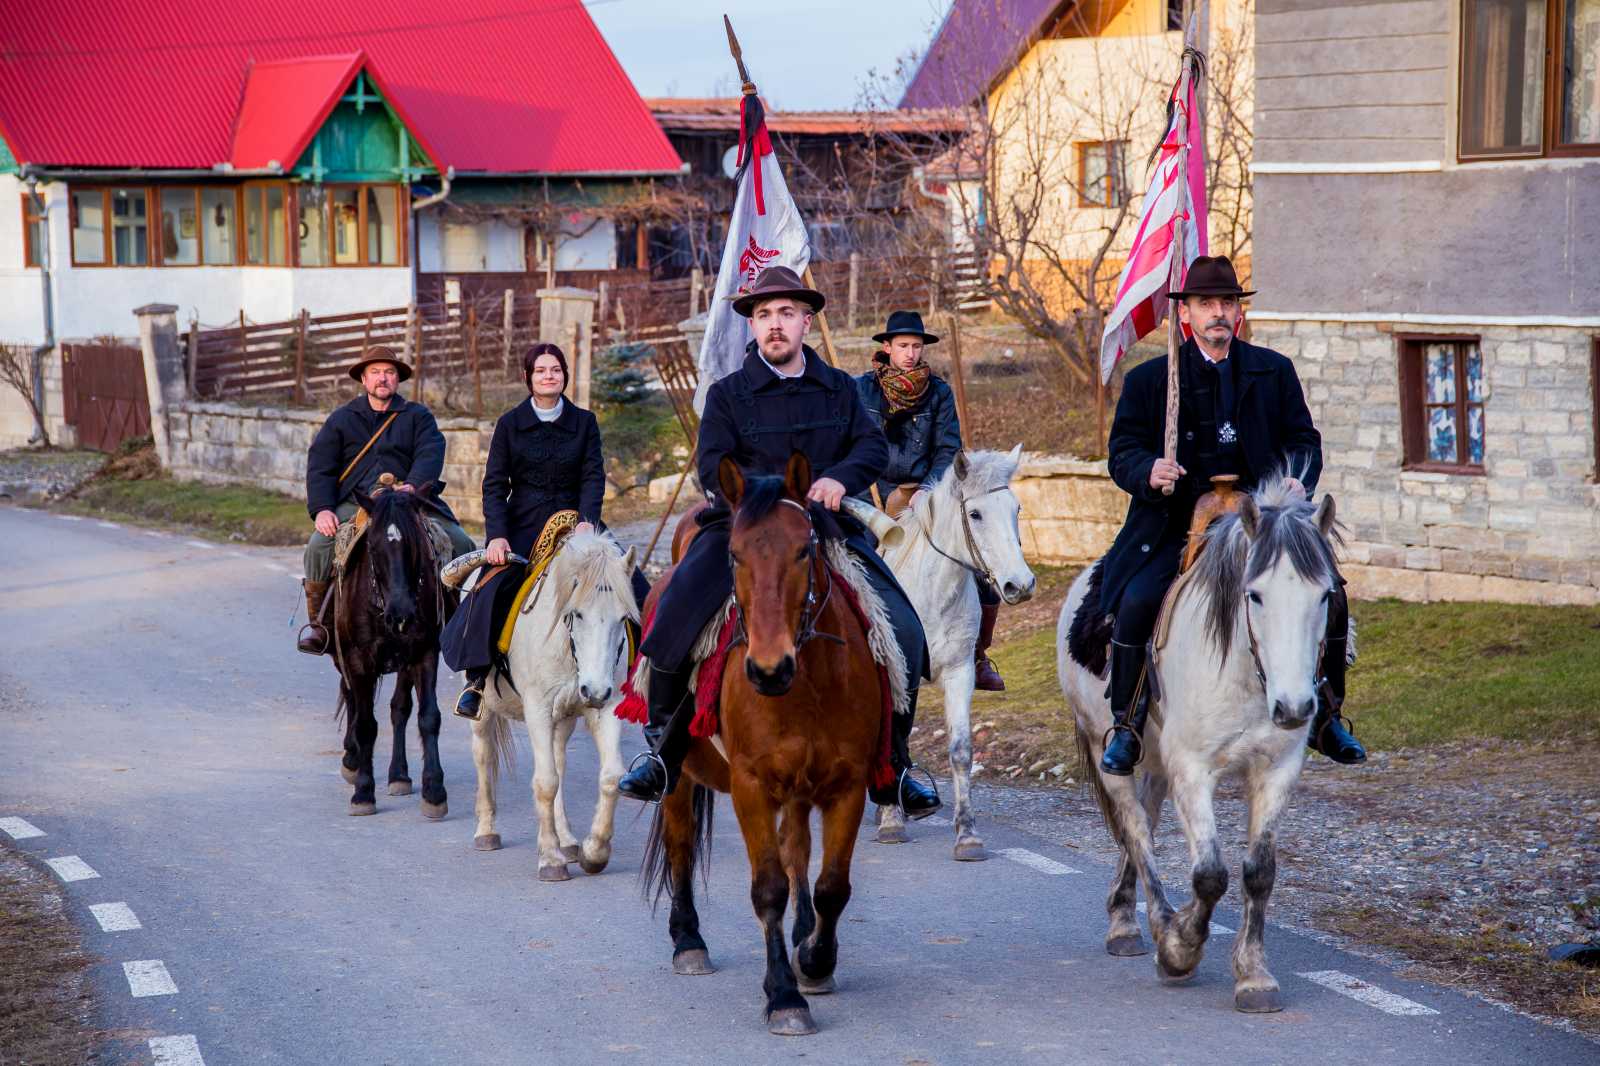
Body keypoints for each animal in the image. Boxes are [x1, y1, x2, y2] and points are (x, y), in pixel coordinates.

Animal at [332, 480, 454, 813]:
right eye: (373, 547)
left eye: (415, 544)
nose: (401, 613)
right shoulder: (357, 658)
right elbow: (365, 724)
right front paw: (363, 791)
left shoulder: (424, 652)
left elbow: (428, 716)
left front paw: (434, 790)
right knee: (352, 697)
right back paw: (352, 759)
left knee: (400, 708)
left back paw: (399, 775)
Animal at [467, 524, 636, 877]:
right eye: (577, 614)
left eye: (623, 617)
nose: (594, 691)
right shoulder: (538, 710)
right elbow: (545, 782)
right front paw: (550, 858)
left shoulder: (607, 707)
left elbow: (610, 776)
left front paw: (593, 852)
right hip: (483, 711)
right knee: (483, 754)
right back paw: (486, 831)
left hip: (565, 718)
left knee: (558, 761)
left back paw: (568, 840)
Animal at [640, 451, 889, 1030]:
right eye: (735, 554)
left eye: (803, 549)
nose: (769, 669)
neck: (807, 686)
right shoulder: (751, 786)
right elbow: (768, 889)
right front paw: (784, 996)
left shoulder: (846, 786)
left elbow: (831, 886)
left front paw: (815, 961)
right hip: (679, 775)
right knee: (681, 842)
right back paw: (689, 941)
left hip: (798, 789)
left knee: (797, 849)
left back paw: (802, 936)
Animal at [876, 444, 1036, 857]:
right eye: (975, 514)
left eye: (1016, 509)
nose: (1020, 584)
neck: (931, 594)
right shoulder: (897, 676)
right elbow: (893, 741)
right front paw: (891, 821)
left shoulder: (959, 671)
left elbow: (961, 750)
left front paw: (967, 834)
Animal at [1062, 476, 1350, 1011]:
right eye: (1255, 595)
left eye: (1325, 596)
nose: (1295, 707)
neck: (1247, 673)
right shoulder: (1193, 770)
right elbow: (1211, 873)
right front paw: (1180, 949)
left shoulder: (1277, 769)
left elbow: (1259, 871)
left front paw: (1254, 974)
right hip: (1103, 745)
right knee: (1136, 828)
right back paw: (1148, 924)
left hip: (1155, 760)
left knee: (1146, 821)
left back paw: (1125, 916)